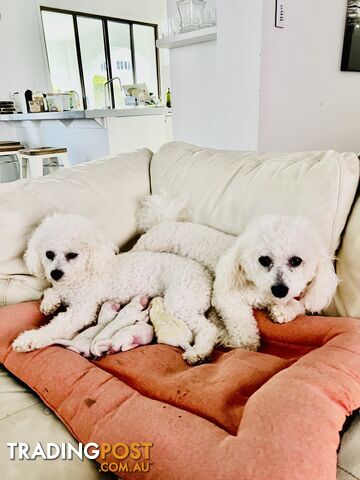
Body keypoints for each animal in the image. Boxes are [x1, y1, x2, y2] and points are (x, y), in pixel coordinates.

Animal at [12, 214, 218, 364]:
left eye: (72, 255)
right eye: (49, 254)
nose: (55, 273)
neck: (82, 274)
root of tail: (206, 273)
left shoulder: (81, 311)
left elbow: (56, 326)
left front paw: (28, 339)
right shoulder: (62, 289)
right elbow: (51, 291)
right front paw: (50, 303)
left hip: (180, 301)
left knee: (209, 329)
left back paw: (199, 352)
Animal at [134, 193, 338, 350]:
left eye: (296, 261)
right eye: (264, 260)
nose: (280, 289)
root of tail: (163, 221)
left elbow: (301, 305)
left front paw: (282, 312)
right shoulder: (226, 296)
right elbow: (242, 322)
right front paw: (245, 343)